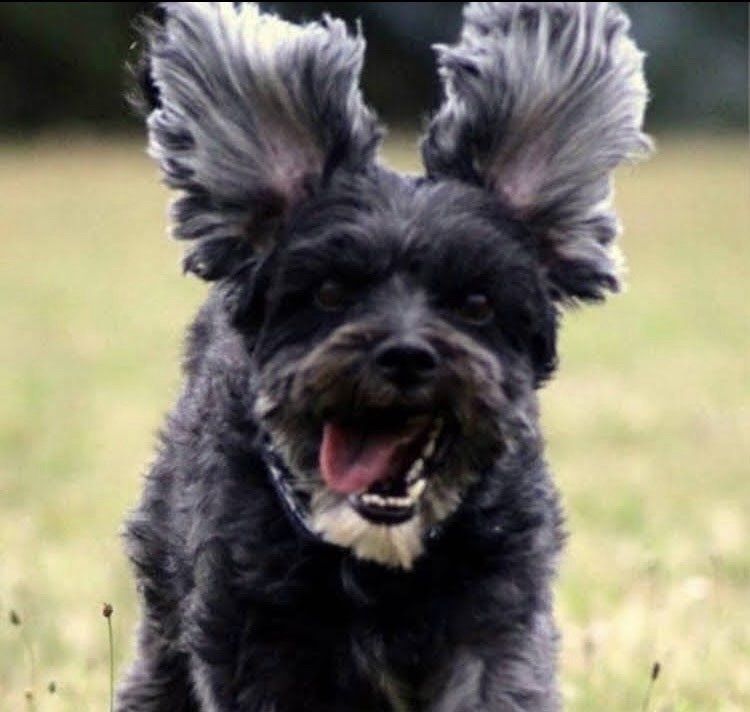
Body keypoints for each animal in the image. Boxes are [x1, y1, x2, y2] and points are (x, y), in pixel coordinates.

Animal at [117, 3, 650, 710]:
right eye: (328, 292)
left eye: (476, 303)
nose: (405, 355)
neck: (376, 562)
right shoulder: (253, 641)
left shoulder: (496, 626)